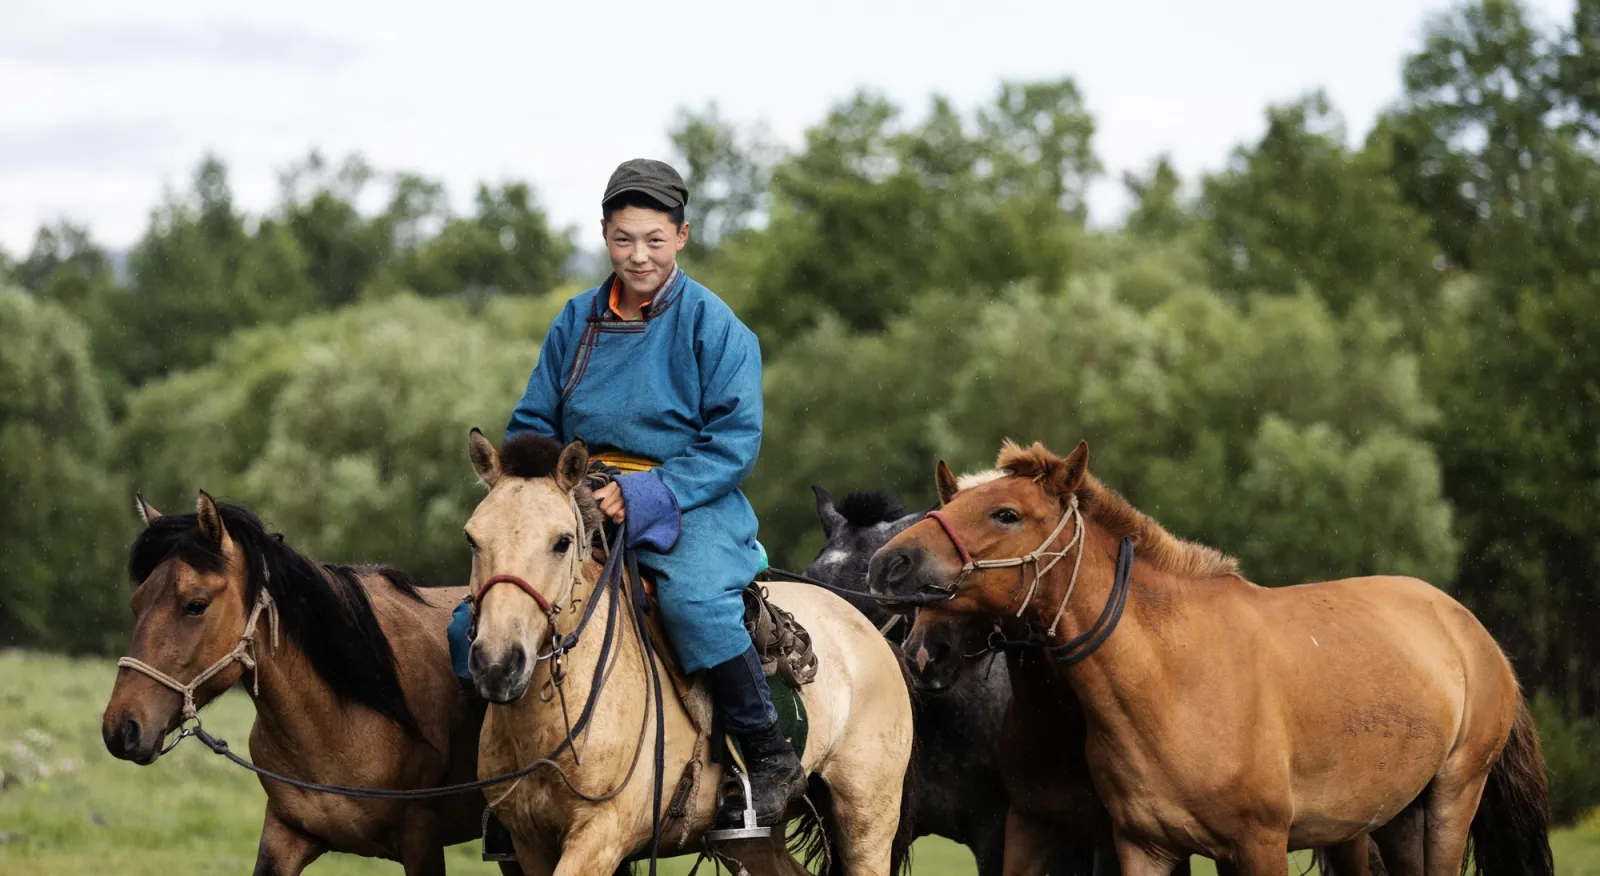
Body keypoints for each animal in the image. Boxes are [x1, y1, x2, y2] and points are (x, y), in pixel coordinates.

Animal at [464, 431, 915, 876]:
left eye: (562, 542)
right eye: (472, 538)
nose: (498, 665)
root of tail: (865, 625)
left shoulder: (599, 836)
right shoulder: (531, 845)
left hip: (867, 819)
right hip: (753, 840)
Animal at [870, 438, 1555, 876]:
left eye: (1006, 513)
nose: (888, 564)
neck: (1172, 679)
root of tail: (1473, 633)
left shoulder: (1260, 847)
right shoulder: (1142, 849)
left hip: (1449, 802)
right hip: (1392, 818)